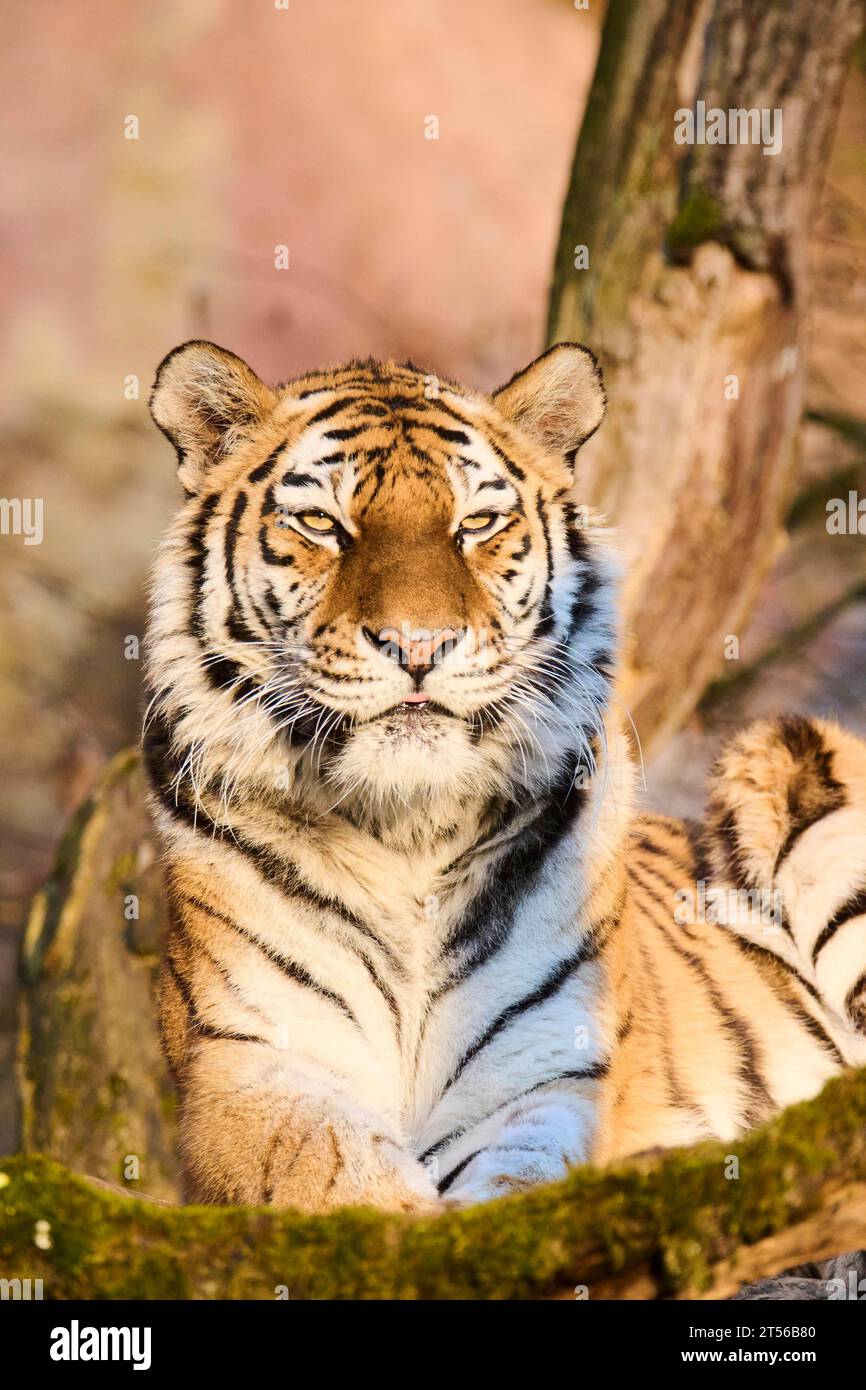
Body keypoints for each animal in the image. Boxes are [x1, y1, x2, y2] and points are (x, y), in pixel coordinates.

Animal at [142, 341, 866, 1212]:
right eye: (321, 523)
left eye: (477, 524)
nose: (418, 644)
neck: (407, 834)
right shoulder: (248, 1063)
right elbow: (332, 1172)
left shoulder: (549, 1073)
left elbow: (517, 1187)